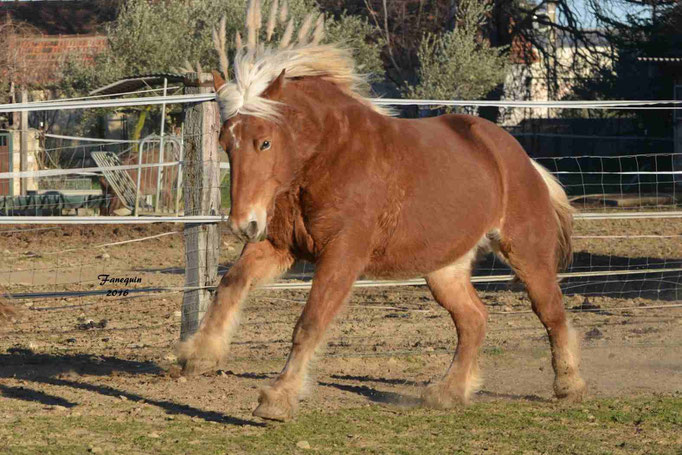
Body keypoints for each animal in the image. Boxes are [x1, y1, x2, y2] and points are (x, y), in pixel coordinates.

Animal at [177, 1, 584, 422]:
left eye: (265, 142)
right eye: (225, 142)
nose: (244, 224)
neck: (329, 158)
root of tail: (519, 158)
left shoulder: (343, 254)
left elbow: (310, 322)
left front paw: (278, 398)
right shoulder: (278, 246)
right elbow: (231, 284)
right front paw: (198, 355)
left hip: (526, 252)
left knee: (551, 312)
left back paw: (568, 385)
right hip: (444, 269)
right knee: (474, 319)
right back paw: (449, 392)